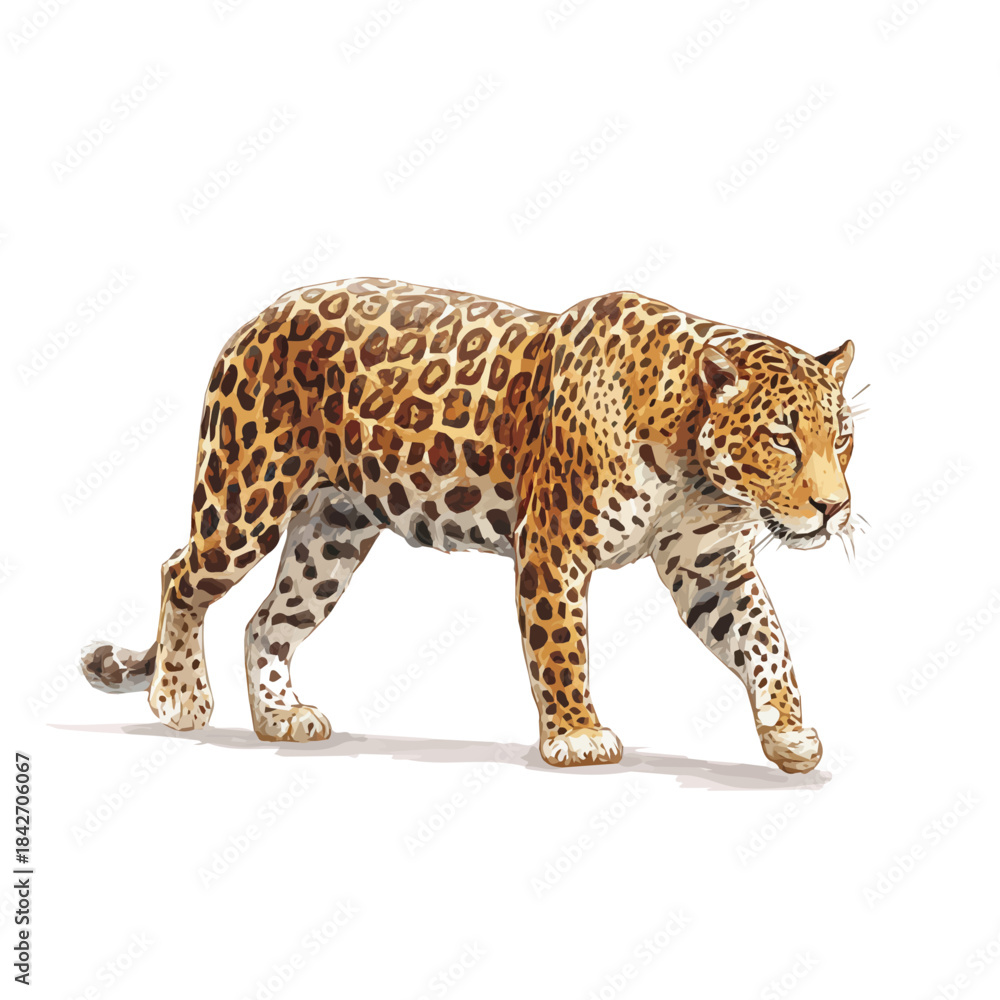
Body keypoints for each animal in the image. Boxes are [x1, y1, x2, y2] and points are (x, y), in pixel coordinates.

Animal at [80, 277, 856, 772]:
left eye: (842, 436)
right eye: (783, 439)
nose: (835, 507)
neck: (696, 468)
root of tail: (260, 314)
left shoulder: (711, 567)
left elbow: (768, 645)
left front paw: (787, 733)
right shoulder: (551, 547)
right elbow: (561, 648)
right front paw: (577, 737)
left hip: (330, 536)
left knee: (266, 620)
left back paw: (280, 718)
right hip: (245, 498)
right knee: (180, 574)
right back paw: (179, 697)